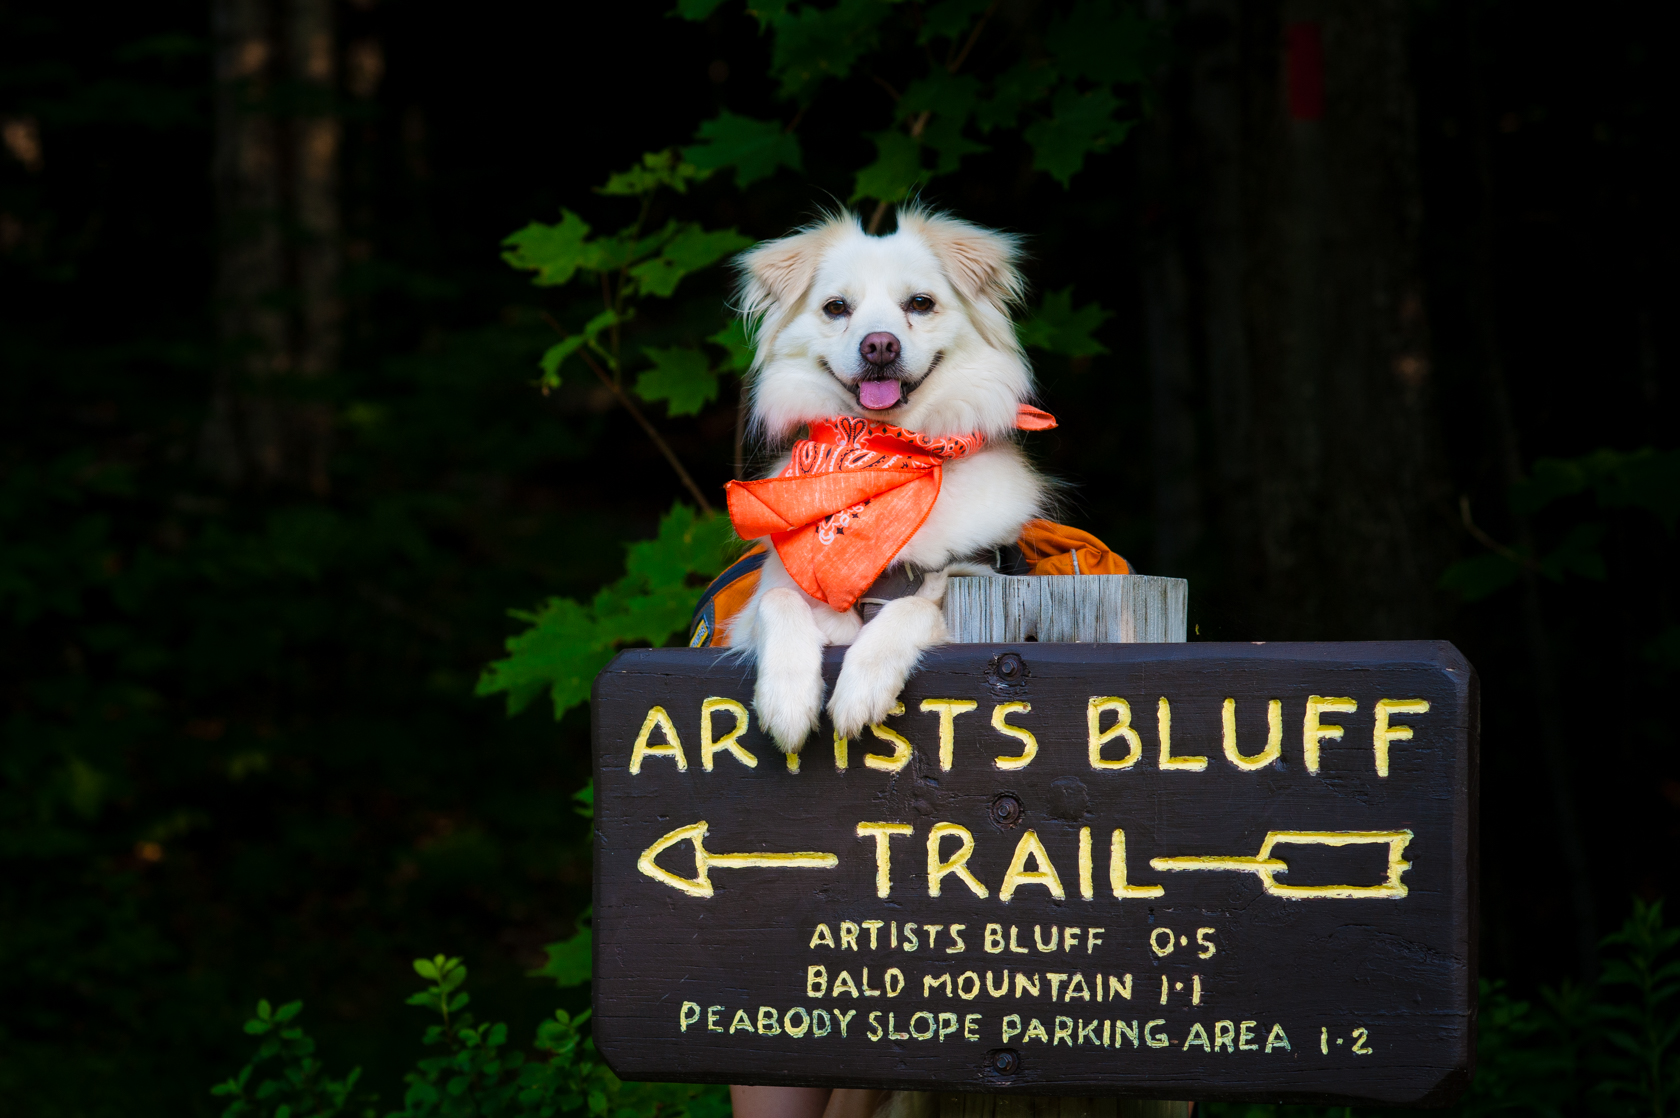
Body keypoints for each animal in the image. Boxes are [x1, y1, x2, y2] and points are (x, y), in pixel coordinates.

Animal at [722, 208, 1048, 749]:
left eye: (921, 303)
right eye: (836, 308)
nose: (879, 345)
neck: (887, 456)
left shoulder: (981, 585)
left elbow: (916, 608)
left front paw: (862, 685)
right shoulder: (759, 608)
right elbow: (778, 599)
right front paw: (787, 699)